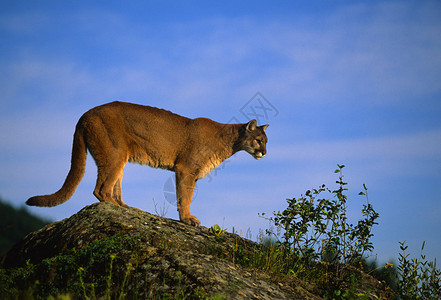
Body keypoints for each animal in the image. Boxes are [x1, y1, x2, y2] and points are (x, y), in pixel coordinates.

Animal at [28, 101, 268, 225]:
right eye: (259, 140)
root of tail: (84, 114)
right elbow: (185, 197)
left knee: (112, 187)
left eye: (266, 141)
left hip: (120, 157)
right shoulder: (185, 170)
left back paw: (127, 207)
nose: (264, 153)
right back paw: (119, 208)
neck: (228, 140)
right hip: (114, 153)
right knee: (100, 189)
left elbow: (185, 196)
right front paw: (187, 219)